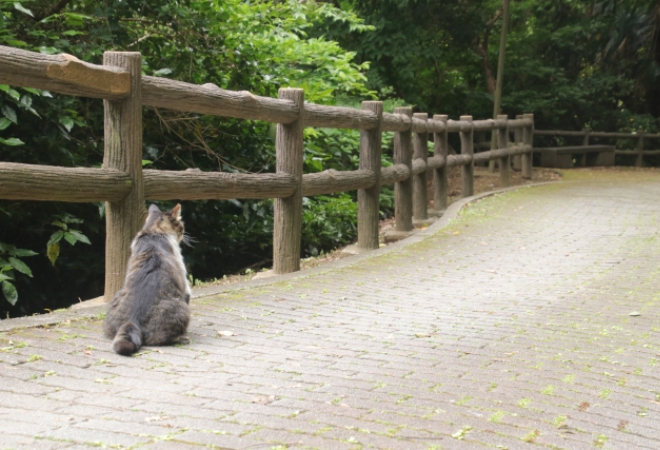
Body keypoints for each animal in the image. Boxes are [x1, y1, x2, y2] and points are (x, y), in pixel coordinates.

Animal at [103, 203, 191, 356]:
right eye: (181, 225)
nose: (183, 232)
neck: (154, 232)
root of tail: (132, 319)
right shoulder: (185, 286)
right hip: (182, 310)